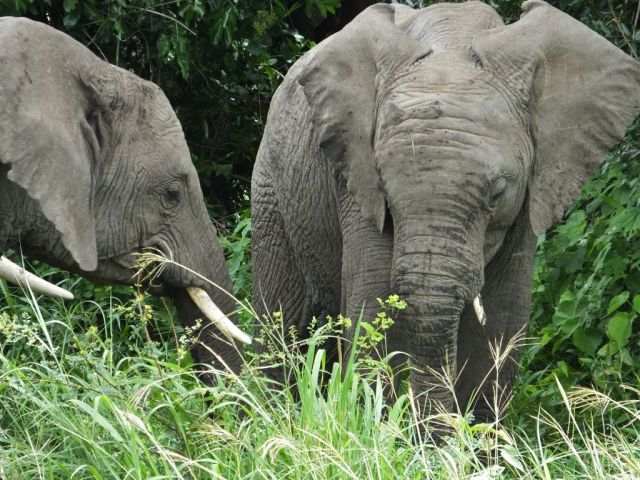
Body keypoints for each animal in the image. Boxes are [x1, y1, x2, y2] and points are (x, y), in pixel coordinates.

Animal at [251, 0, 640, 421]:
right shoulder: (356, 179)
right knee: (283, 324)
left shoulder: (529, 196)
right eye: (386, 188)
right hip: (270, 189)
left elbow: (500, 322)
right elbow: (374, 310)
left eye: (497, 193)